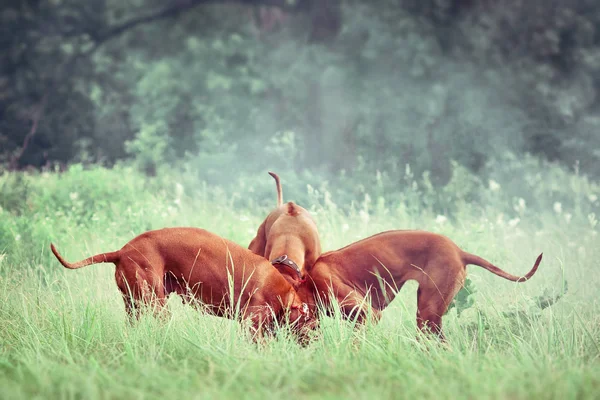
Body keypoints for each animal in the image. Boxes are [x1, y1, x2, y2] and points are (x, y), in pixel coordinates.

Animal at [50, 227, 314, 340]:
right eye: (312, 325)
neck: (280, 288)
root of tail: (122, 251)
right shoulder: (251, 324)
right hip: (156, 303)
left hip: (133, 305)